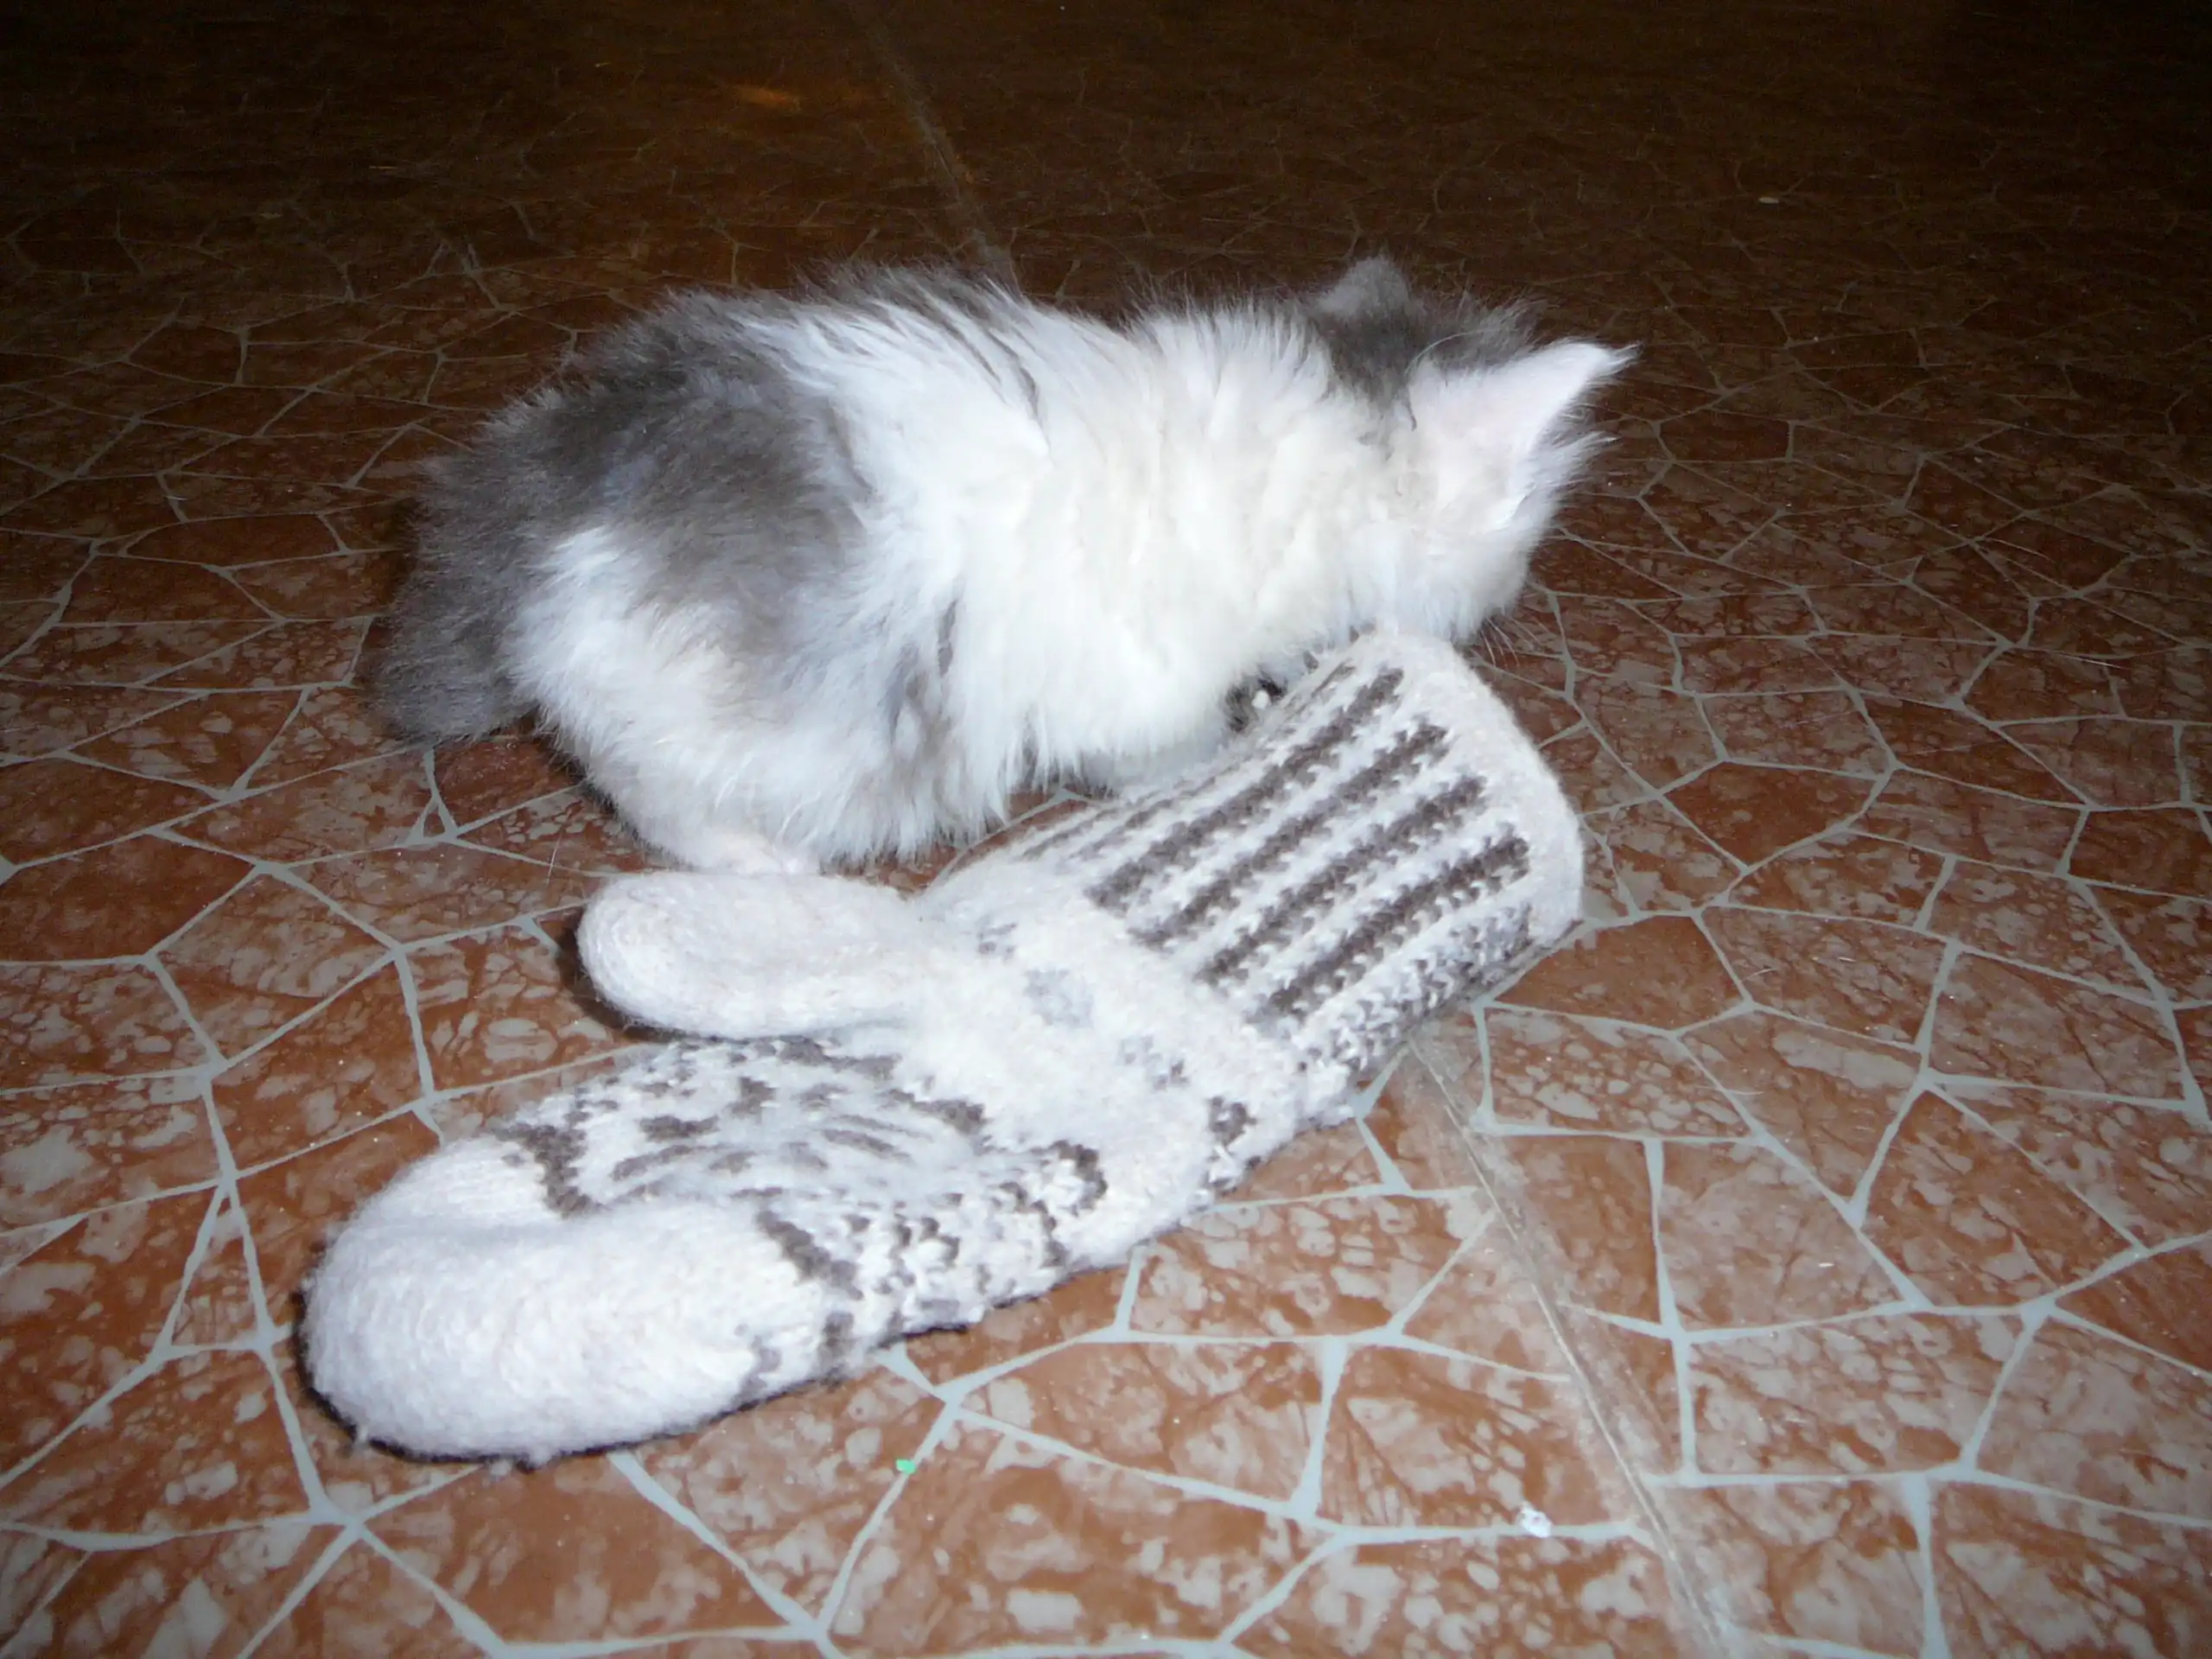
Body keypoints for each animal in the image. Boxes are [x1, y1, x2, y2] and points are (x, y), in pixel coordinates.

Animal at [376, 256, 1628, 870]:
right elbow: (1174, 754)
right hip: (712, 710)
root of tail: (534, 492)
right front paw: (1248, 746)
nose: (1516, 597)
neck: (1314, 456)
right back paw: (761, 863)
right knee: (649, 791)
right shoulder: (1140, 692)